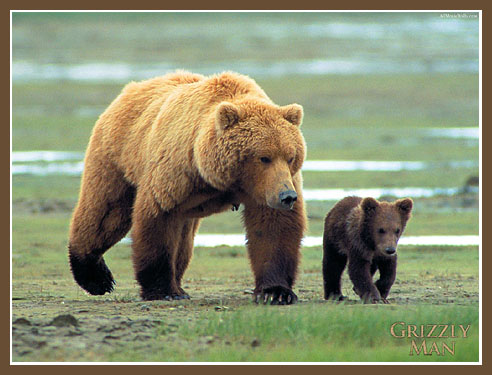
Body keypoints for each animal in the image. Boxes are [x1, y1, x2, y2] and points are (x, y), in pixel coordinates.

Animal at [68, 70, 308, 306]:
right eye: (264, 157)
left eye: (290, 156)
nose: (287, 196)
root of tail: (131, 88)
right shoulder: (177, 172)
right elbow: (158, 220)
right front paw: (162, 290)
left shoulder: (267, 188)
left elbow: (273, 228)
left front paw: (275, 292)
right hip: (117, 156)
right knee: (106, 213)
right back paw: (96, 278)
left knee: (183, 240)